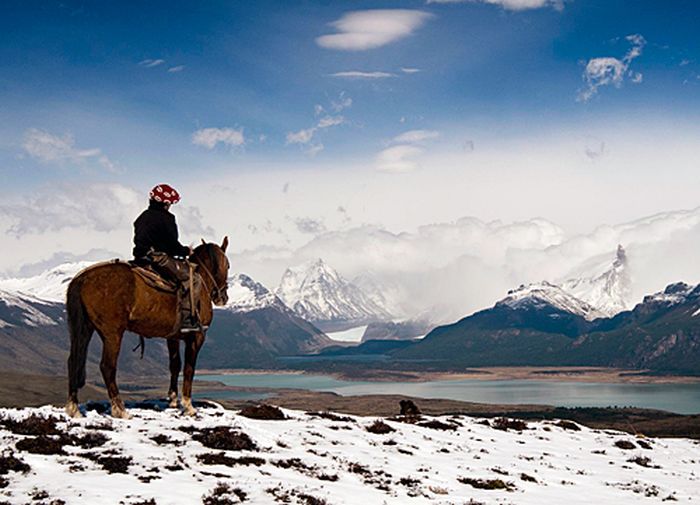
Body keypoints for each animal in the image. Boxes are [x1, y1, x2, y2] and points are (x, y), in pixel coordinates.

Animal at [65, 238, 230, 420]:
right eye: (228, 265)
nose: (222, 297)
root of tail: (81, 279)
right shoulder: (197, 337)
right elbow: (189, 369)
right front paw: (188, 406)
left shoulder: (172, 337)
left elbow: (175, 366)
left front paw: (173, 400)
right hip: (112, 333)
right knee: (107, 366)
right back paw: (120, 410)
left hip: (83, 330)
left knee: (73, 362)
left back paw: (74, 409)